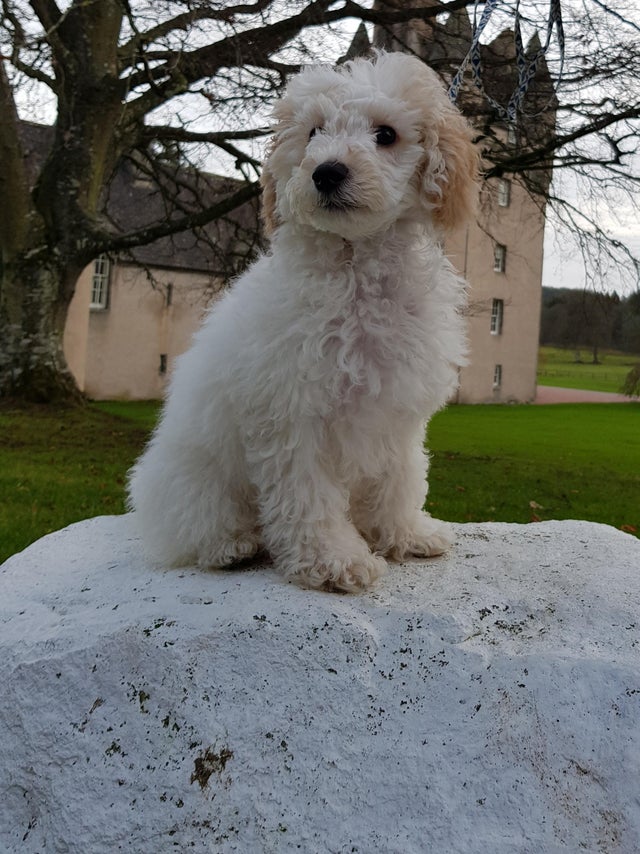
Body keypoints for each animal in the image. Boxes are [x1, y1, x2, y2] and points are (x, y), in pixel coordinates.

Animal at [129, 50, 476, 592]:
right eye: (314, 132)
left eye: (386, 134)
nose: (327, 172)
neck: (356, 270)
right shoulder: (293, 413)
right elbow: (307, 495)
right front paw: (334, 559)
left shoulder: (395, 414)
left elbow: (400, 477)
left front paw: (405, 533)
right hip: (192, 475)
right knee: (191, 523)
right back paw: (230, 544)